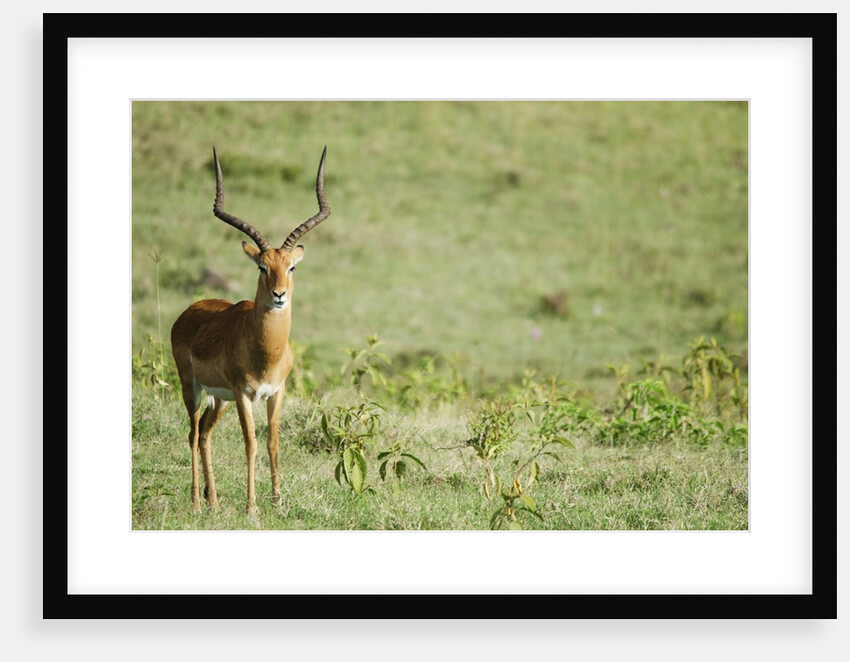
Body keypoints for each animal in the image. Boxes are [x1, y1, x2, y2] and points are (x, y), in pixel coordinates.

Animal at [171, 146, 330, 515]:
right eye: (262, 266)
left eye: (291, 267)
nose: (279, 294)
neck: (266, 352)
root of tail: (188, 312)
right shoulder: (244, 394)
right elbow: (251, 444)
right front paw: (252, 508)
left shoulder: (276, 392)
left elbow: (272, 442)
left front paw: (277, 502)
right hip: (193, 388)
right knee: (191, 432)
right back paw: (196, 502)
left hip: (218, 399)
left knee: (204, 434)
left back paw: (214, 502)